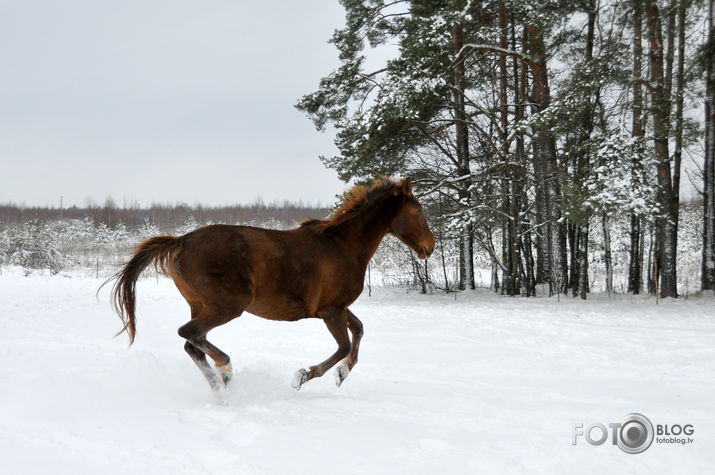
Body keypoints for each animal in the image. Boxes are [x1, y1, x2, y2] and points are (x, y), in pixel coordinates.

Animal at [110, 177, 436, 392]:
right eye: (419, 211)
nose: (429, 247)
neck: (343, 246)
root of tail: (181, 241)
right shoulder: (331, 311)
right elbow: (343, 345)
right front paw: (302, 376)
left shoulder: (337, 308)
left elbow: (358, 330)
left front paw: (342, 374)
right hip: (226, 306)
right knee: (189, 334)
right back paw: (225, 371)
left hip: (198, 304)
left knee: (193, 344)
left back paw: (217, 386)